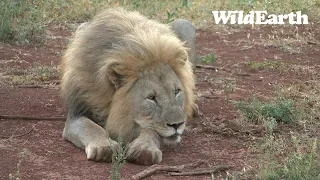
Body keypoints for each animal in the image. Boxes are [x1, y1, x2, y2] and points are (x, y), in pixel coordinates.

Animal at [60, 8, 195, 166]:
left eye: (177, 91)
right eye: (151, 97)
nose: (178, 124)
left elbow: (151, 131)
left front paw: (144, 150)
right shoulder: (77, 113)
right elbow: (91, 128)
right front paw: (105, 147)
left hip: (184, 24)